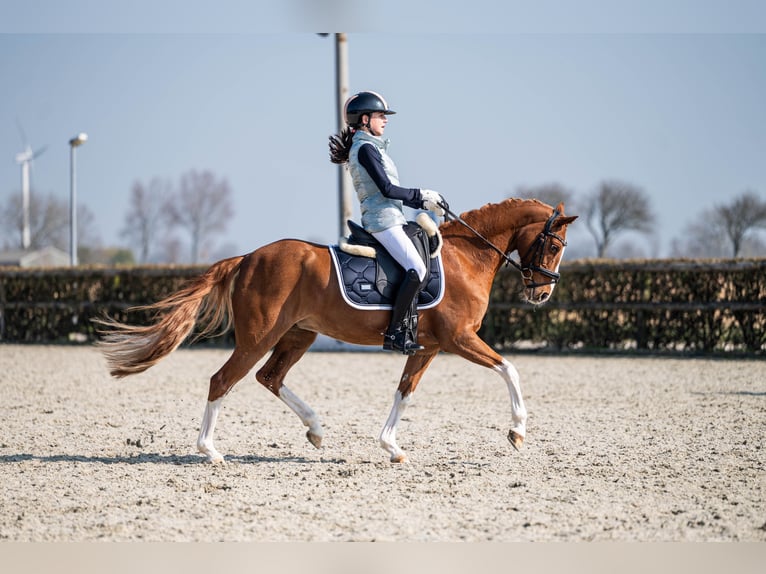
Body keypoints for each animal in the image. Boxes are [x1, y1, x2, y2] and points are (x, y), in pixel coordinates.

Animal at [96, 198, 577, 463]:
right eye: (554, 245)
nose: (542, 294)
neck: (466, 255)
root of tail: (248, 257)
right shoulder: (459, 339)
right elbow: (510, 369)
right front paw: (518, 431)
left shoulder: (427, 347)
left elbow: (404, 392)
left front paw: (391, 447)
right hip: (259, 337)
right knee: (223, 380)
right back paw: (211, 452)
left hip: (298, 335)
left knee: (269, 377)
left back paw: (316, 429)